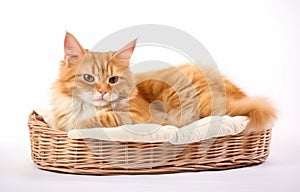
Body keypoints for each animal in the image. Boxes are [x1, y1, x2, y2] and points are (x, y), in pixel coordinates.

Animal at [49, 31, 276, 134]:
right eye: (89, 78)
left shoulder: (140, 116)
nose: (103, 92)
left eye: (113, 80)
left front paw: (83, 123)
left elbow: (101, 118)